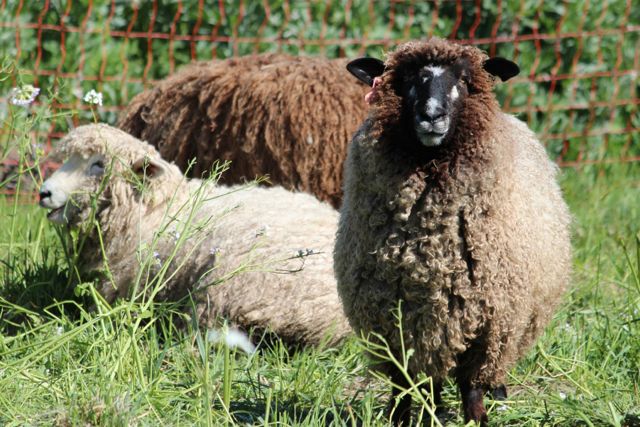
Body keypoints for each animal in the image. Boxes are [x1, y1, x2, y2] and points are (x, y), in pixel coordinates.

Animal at [334, 38, 572, 425]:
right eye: (407, 78)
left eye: (462, 78)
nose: (432, 115)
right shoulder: (391, 322)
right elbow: (404, 385)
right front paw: (402, 416)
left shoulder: (488, 324)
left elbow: (472, 386)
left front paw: (477, 419)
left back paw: (497, 392)